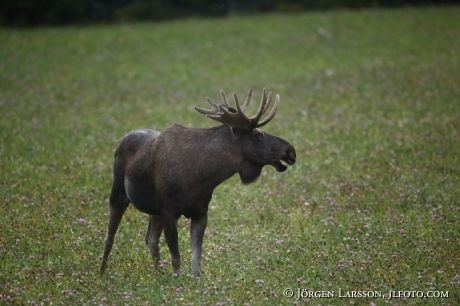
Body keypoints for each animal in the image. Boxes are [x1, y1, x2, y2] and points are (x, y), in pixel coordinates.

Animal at [99, 88, 296, 278]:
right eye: (258, 135)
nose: (291, 151)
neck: (203, 176)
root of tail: (121, 139)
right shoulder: (169, 211)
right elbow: (176, 257)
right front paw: (177, 282)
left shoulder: (200, 211)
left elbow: (196, 259)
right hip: (119, 194)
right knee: (110, 236)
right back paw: (102, 272)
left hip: (155, 211)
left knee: (151, 239)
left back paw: (158, 274)